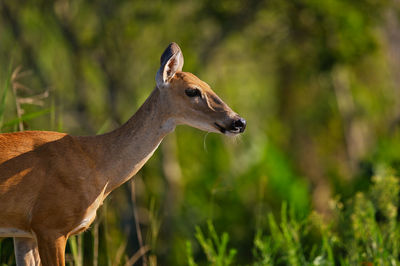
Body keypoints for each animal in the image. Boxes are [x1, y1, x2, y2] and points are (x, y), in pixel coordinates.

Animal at [0, 42, 247, 264]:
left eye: (208, 85)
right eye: (192, 90)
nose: (239, 121)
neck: (95, 164)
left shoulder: (24, 233)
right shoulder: (50, 224)